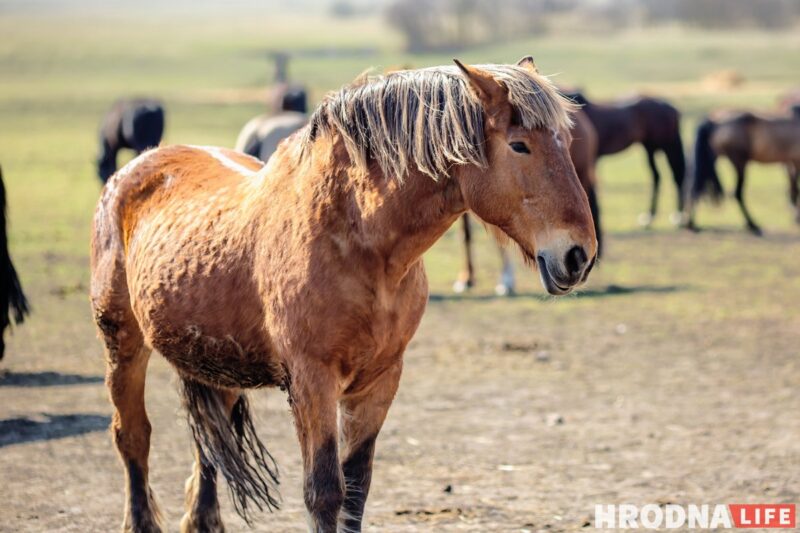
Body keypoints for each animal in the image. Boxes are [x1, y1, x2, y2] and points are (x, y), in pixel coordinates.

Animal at [456, 106, 600, 294]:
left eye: (568, 141)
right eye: (518, 146)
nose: (580, 258)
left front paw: (506, 280)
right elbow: (466, 234)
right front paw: (466, 278)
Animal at [564, 90, 688, 227]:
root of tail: (671, 108)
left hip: (667, 145)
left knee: (676, 176)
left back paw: (678, 216)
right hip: (650, 147)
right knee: (657, 176)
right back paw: (650, 217)